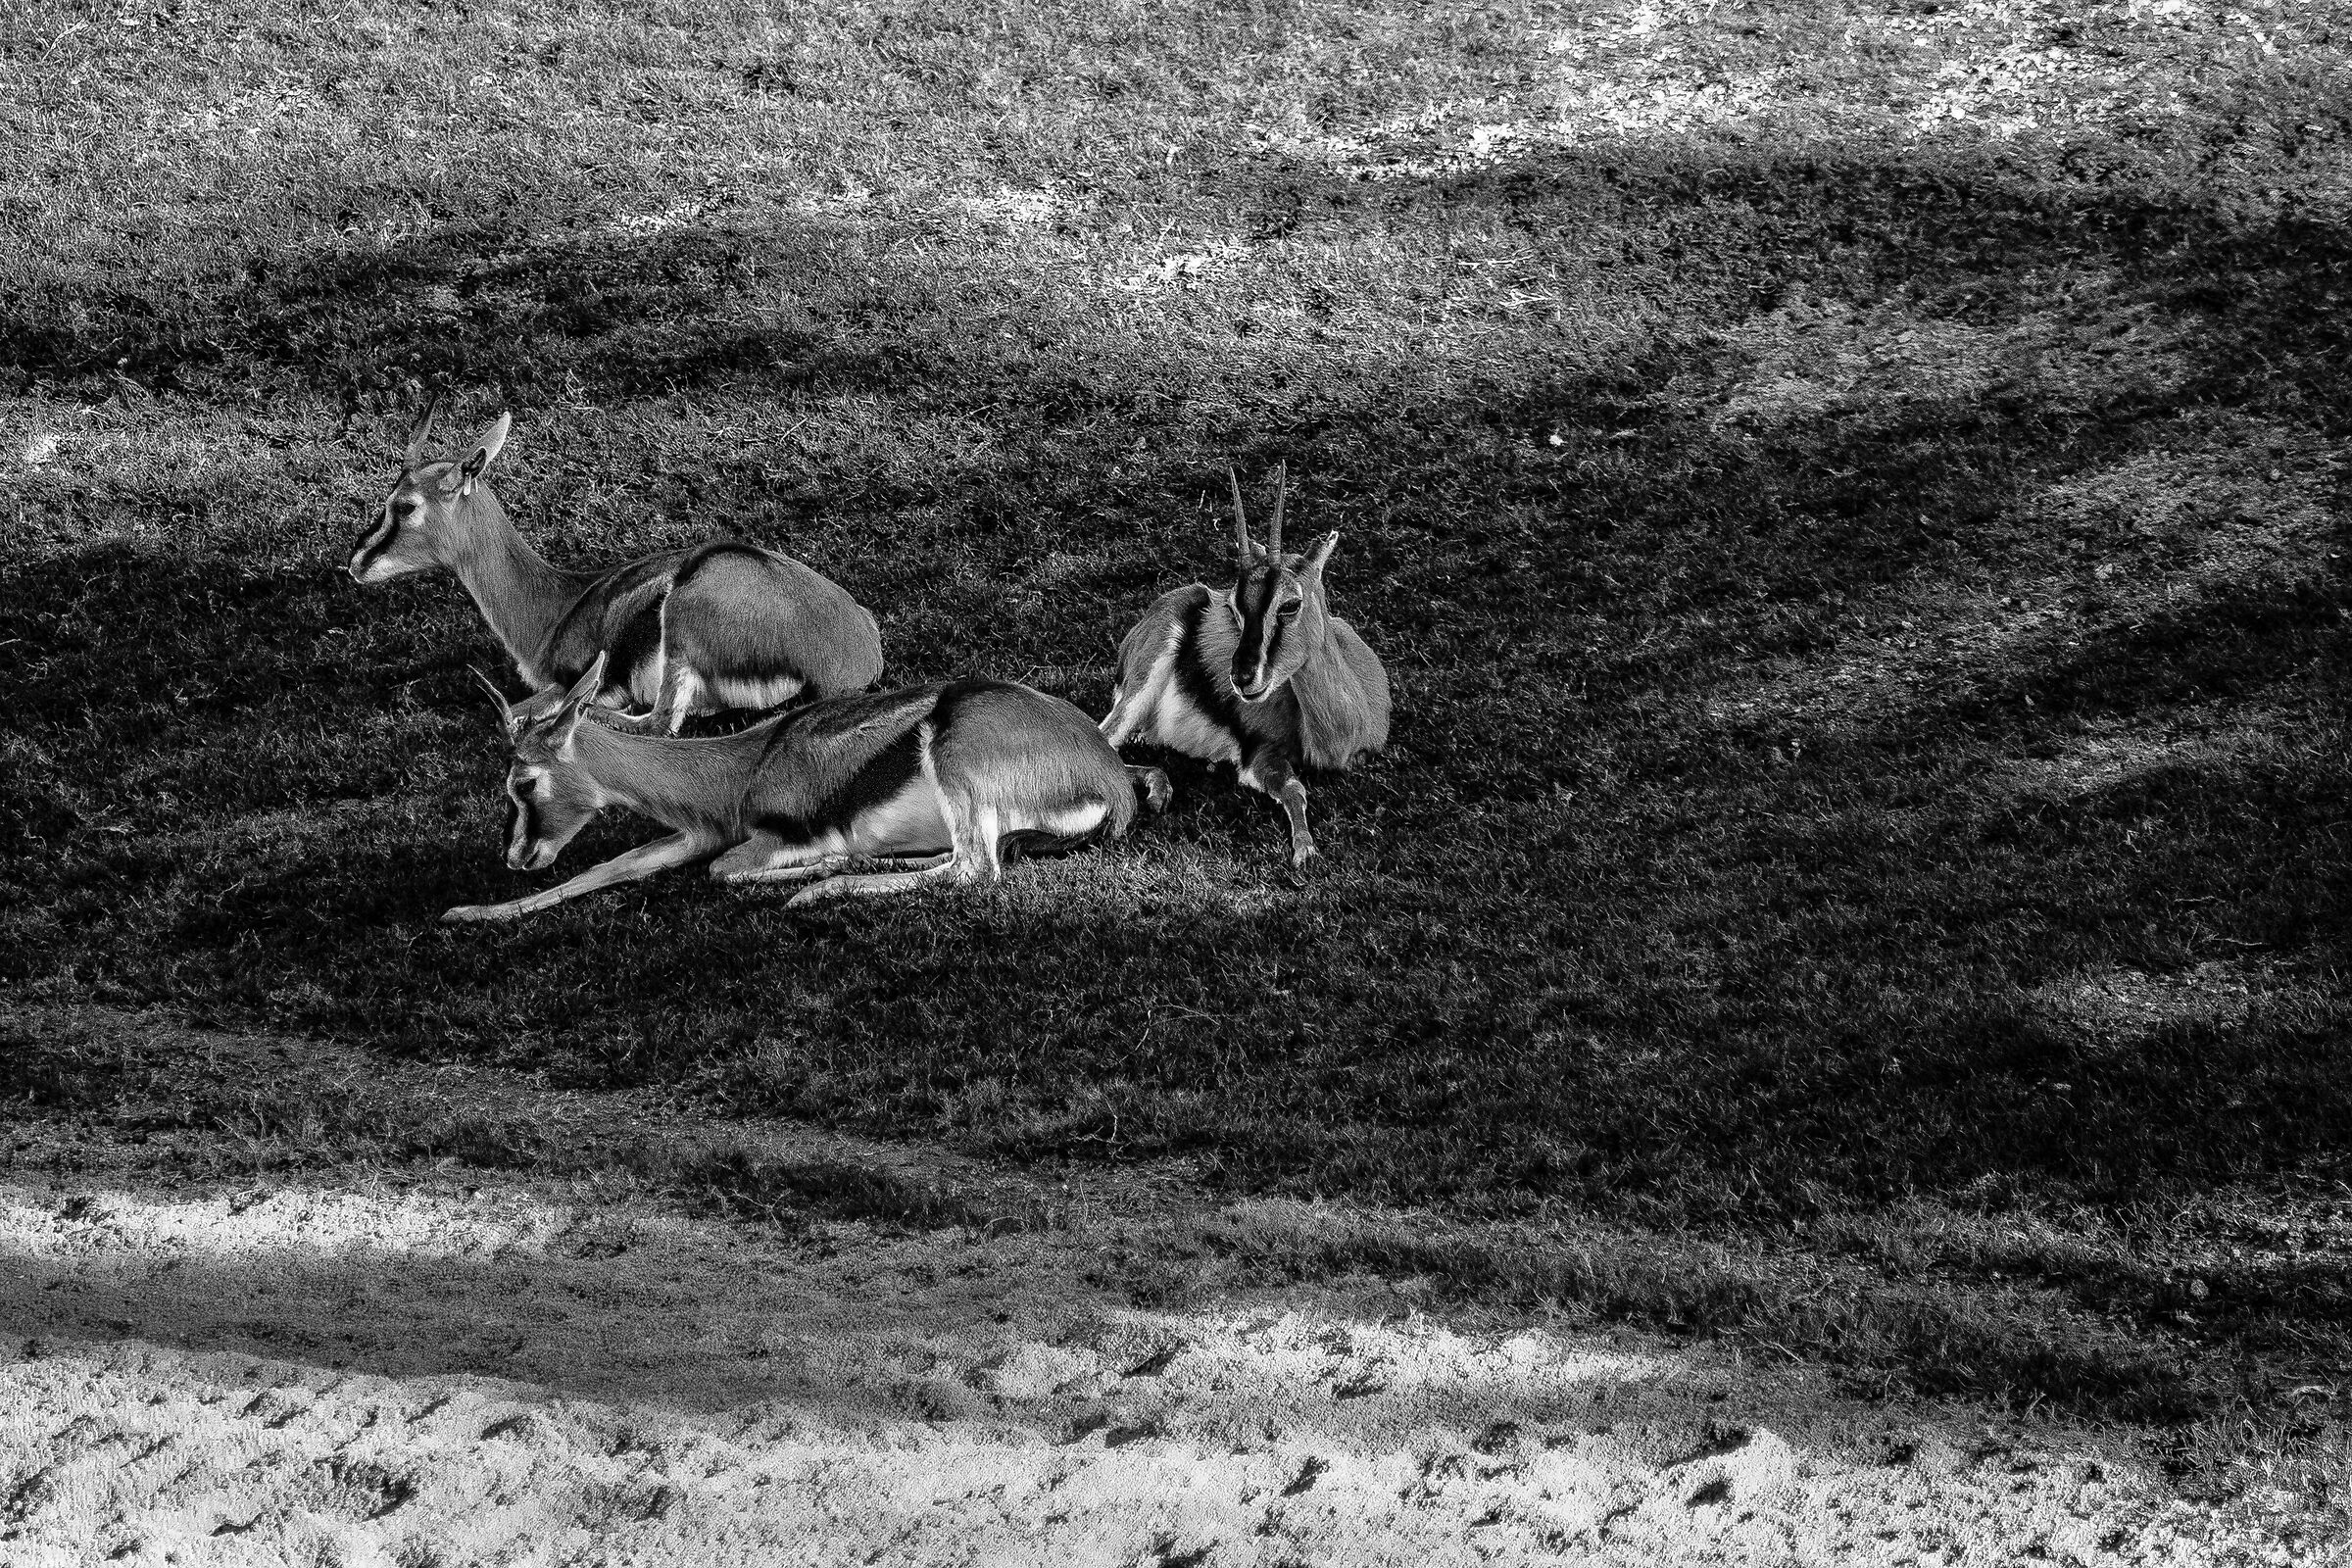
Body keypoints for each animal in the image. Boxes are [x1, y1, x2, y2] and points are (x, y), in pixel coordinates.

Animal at [349, 399, 884, 730]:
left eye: (405, 506)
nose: (355, 562)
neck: (552, 611)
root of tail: (853, 659)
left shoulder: (574, 681)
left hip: (683, 624)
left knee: (657, 724)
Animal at [442, 653, 1171, 923]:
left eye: (522, 781)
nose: (516, 856)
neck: (742, 769)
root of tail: (1113, 776)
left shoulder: (758, 839)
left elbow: (723, 872)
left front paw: (820, 869)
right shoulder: (696, 833)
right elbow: (606, 867)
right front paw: (473, 913)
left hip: (955, 756)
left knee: (974, 870)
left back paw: (819, 886)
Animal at [1098, 463, 1390, 873]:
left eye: (1290, 604)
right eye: (1235, 606)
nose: (1242, 678)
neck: (1341, 731)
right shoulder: (1260, 756)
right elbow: (1295, 789)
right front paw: (1305, 851)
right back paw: (1158, 788)